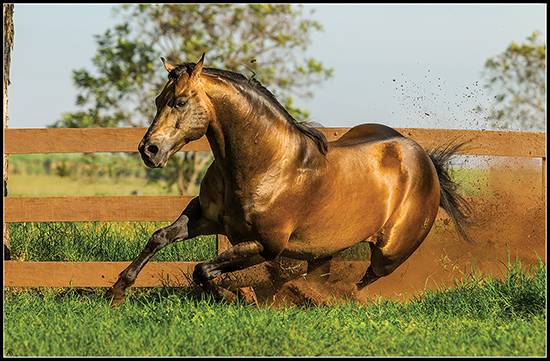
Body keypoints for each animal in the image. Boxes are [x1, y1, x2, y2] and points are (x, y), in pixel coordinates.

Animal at [108, 52, 474, 302]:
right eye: (159, 100)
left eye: (180, 101)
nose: (149, 150)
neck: (267, 165)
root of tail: (423, 157)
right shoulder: (205, 217)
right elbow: (160, 237)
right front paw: (117, 291)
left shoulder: (267, 244)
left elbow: (204, 269)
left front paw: (236, 296)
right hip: (325, 250)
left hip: (390, 252)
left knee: (361, 280)